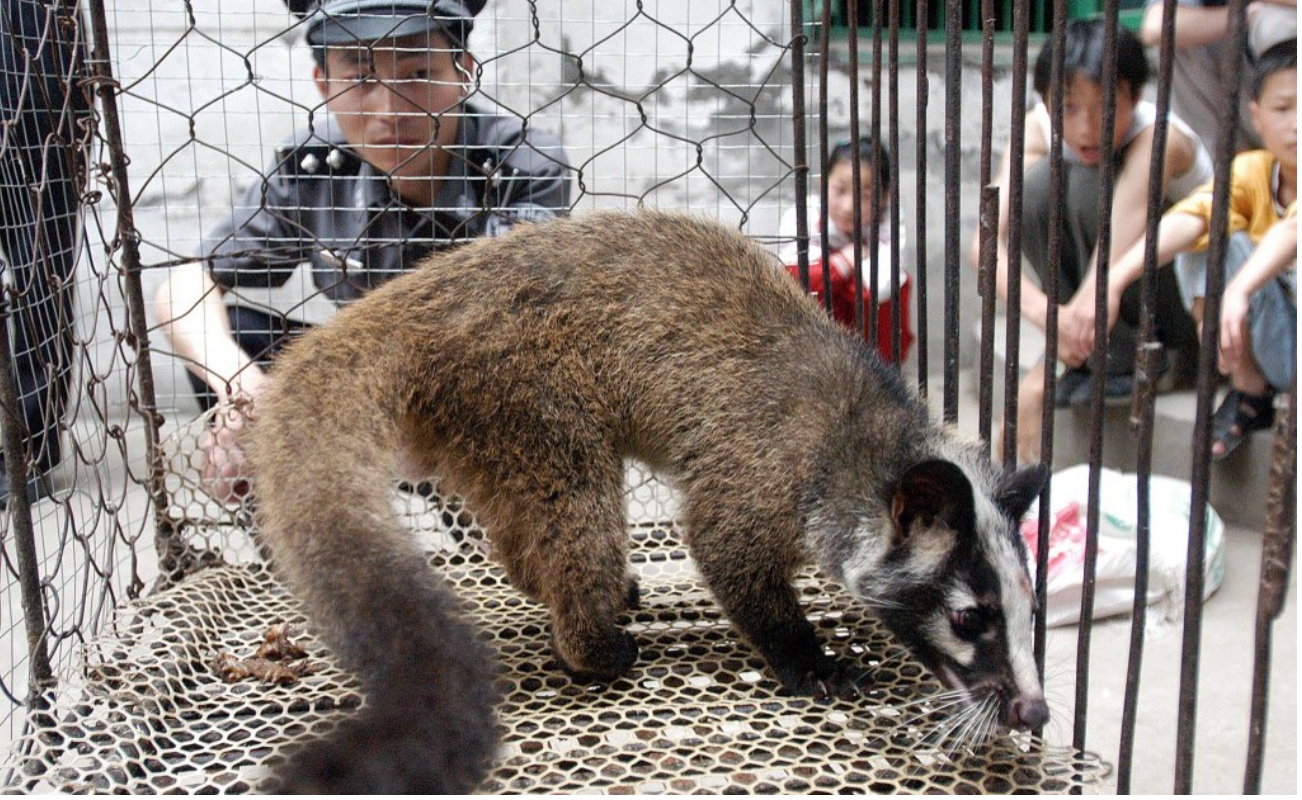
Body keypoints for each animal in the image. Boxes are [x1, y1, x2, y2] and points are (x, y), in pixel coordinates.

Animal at [247, 210, 1050, 793]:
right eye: (970, 617)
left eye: (1029, 609)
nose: (1035, 710)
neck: (873, 440)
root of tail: (405, 303)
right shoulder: (762, 471)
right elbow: (724, 549)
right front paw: (804, 654)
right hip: (527, 394)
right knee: (576, 508)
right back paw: (587, 636)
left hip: (484, 427)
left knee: (522, 526)